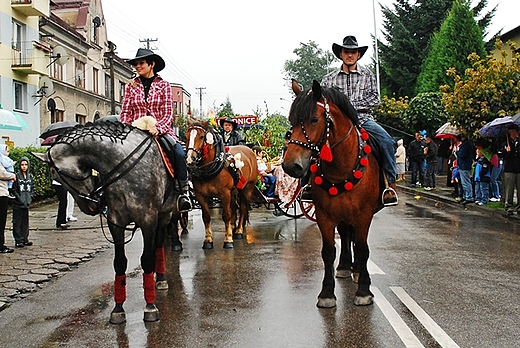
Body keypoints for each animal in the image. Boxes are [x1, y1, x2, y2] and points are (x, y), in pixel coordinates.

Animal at [185, 121, 258, 249]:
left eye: (201, 137)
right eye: (186, 136)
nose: (190, 159)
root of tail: (249, 150)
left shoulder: (225, 194)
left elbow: (226, 215)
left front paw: (228, 240)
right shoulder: (201, 196)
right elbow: (206, 217)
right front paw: (208, 240)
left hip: (248, 188)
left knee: (242, 208)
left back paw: (239, 231)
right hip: (234, 191)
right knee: (234, 206)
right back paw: (233, 227)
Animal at [282, 79, 384, 308]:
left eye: (314, 119)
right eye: (291, 121)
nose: (291, 166)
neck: (341, 169)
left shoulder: (364, 214)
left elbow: (362, 249)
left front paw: (364, 290)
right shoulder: (324, 215)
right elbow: (328, 252)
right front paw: (327, 293)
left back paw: (357, 271)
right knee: (346, 235)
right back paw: (346, 266)